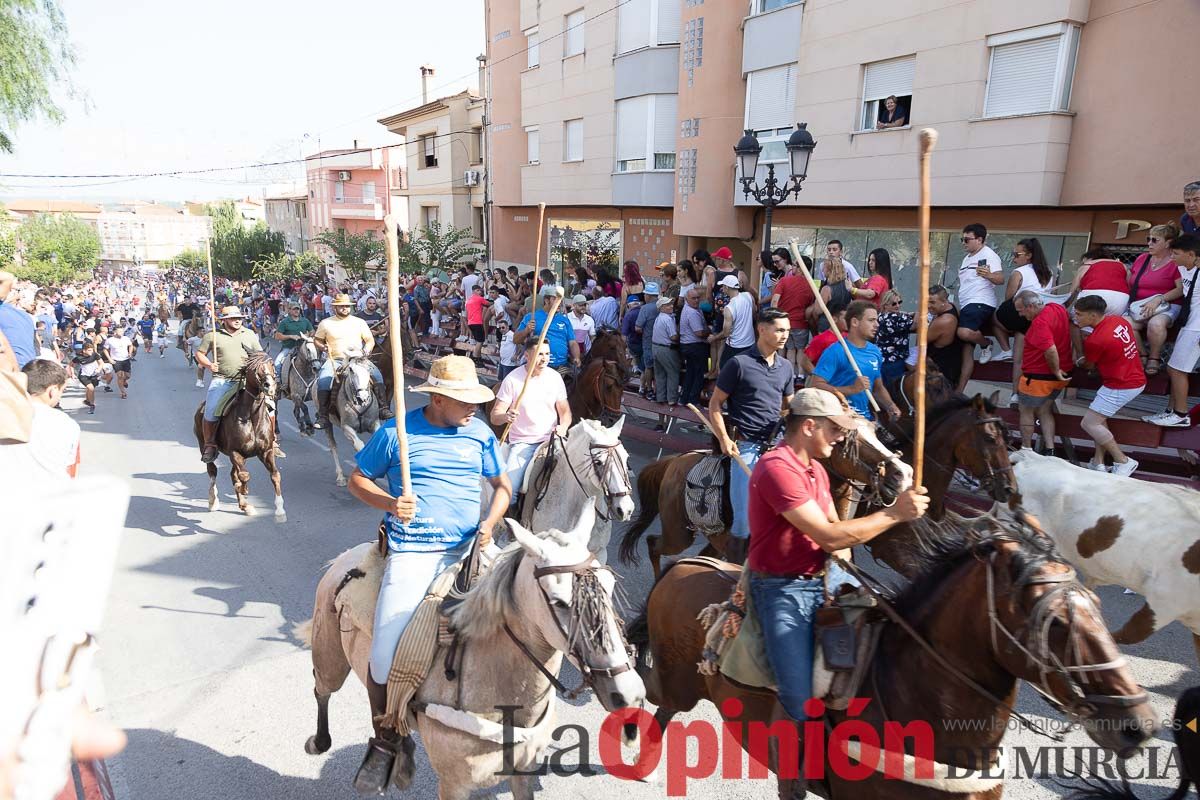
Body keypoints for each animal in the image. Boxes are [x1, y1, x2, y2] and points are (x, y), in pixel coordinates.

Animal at [192, 350, 285, 520]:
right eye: (254, 368)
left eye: (272, 364)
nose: (269, 386)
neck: (251, 416)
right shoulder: (235, 452)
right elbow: (244, 476)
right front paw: (244, 490)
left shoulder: (266, 451)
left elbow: (275, 475)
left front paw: (280, 510)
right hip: (204, 445)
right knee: (213, 470)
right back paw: (213, 501)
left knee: (232, 474)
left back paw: (245, 505)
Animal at [300, 515, 648, 796]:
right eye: (559, 602)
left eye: (609, 585)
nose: (629, 692)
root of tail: (352, 555)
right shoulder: (454, 785)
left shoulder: (523, 771)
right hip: (330, 656)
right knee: (322, 689)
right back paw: (326, 744)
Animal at [619, 412, 907, 582]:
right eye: (849, 438)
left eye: (876, 431)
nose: (902, 472)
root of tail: (675, 460)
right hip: (678, 534)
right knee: (654, 544)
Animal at [628, 513, 1152, 800]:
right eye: (1054, 622)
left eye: (1098, 605)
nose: (1138, 724)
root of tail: (687, 565)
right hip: (681, 683)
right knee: (656, 698)